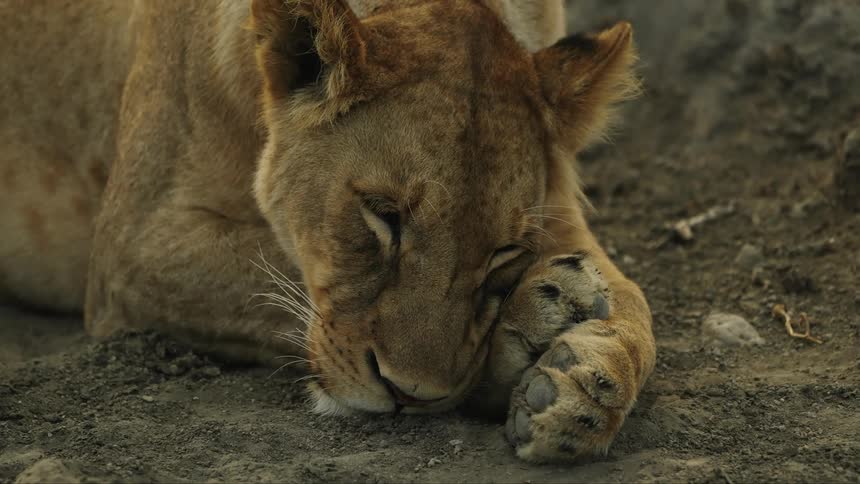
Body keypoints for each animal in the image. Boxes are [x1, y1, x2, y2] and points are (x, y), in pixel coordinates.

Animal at [0, 0, 655, 462]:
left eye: (504, 251)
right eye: (383, 213)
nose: (409, 395)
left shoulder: (562, 205)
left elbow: (637, 306)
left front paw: (585, 384)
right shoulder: (132, 243)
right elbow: (272, 275)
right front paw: (537, 325)